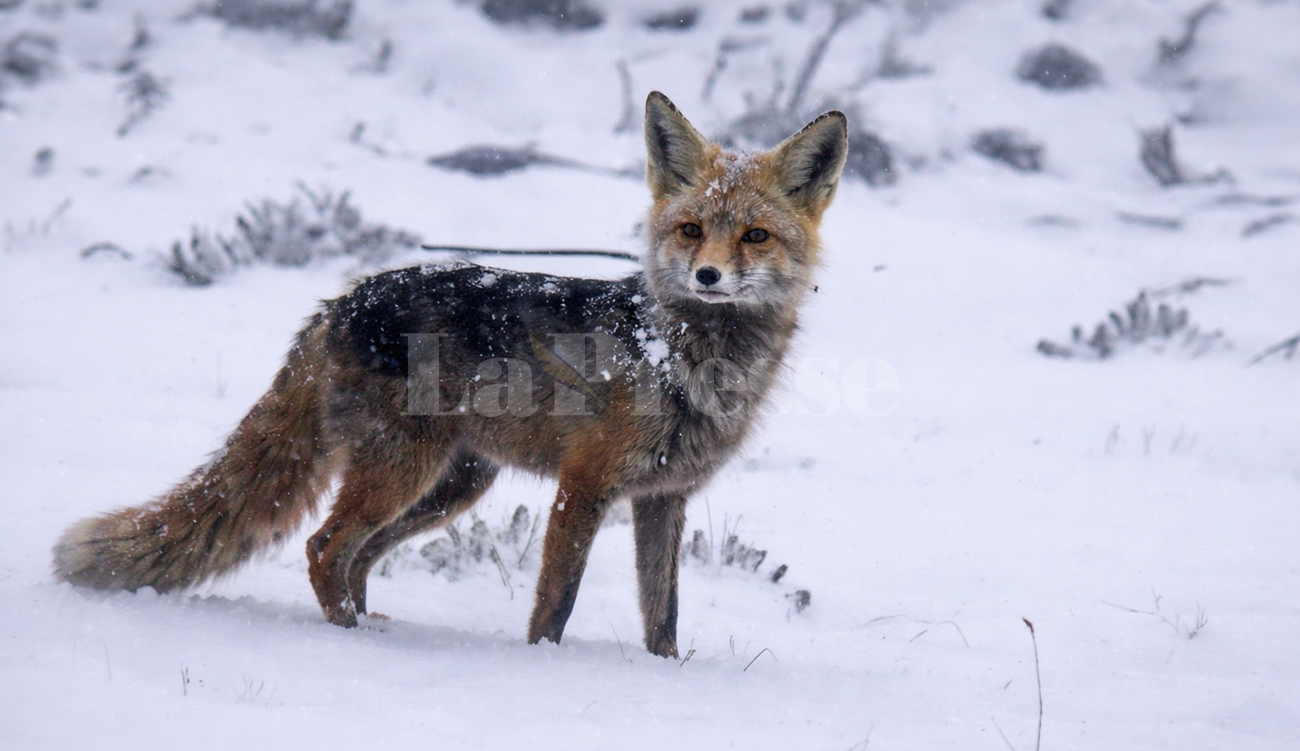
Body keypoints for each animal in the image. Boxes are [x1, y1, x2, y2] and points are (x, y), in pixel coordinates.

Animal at [52, 92, 848, 658]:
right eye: (690, 230)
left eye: (755, 235)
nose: (708, 275)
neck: (682, 356)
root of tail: (340, 300)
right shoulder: (584, 484)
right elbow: (554, 604)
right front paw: (542, 667)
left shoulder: (664, 497)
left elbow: (665, 616)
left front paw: (666, 675)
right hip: (408, 471)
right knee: (323, 547)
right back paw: (350, 642)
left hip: (452, 484)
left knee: (357, 556)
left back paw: (371, 626)